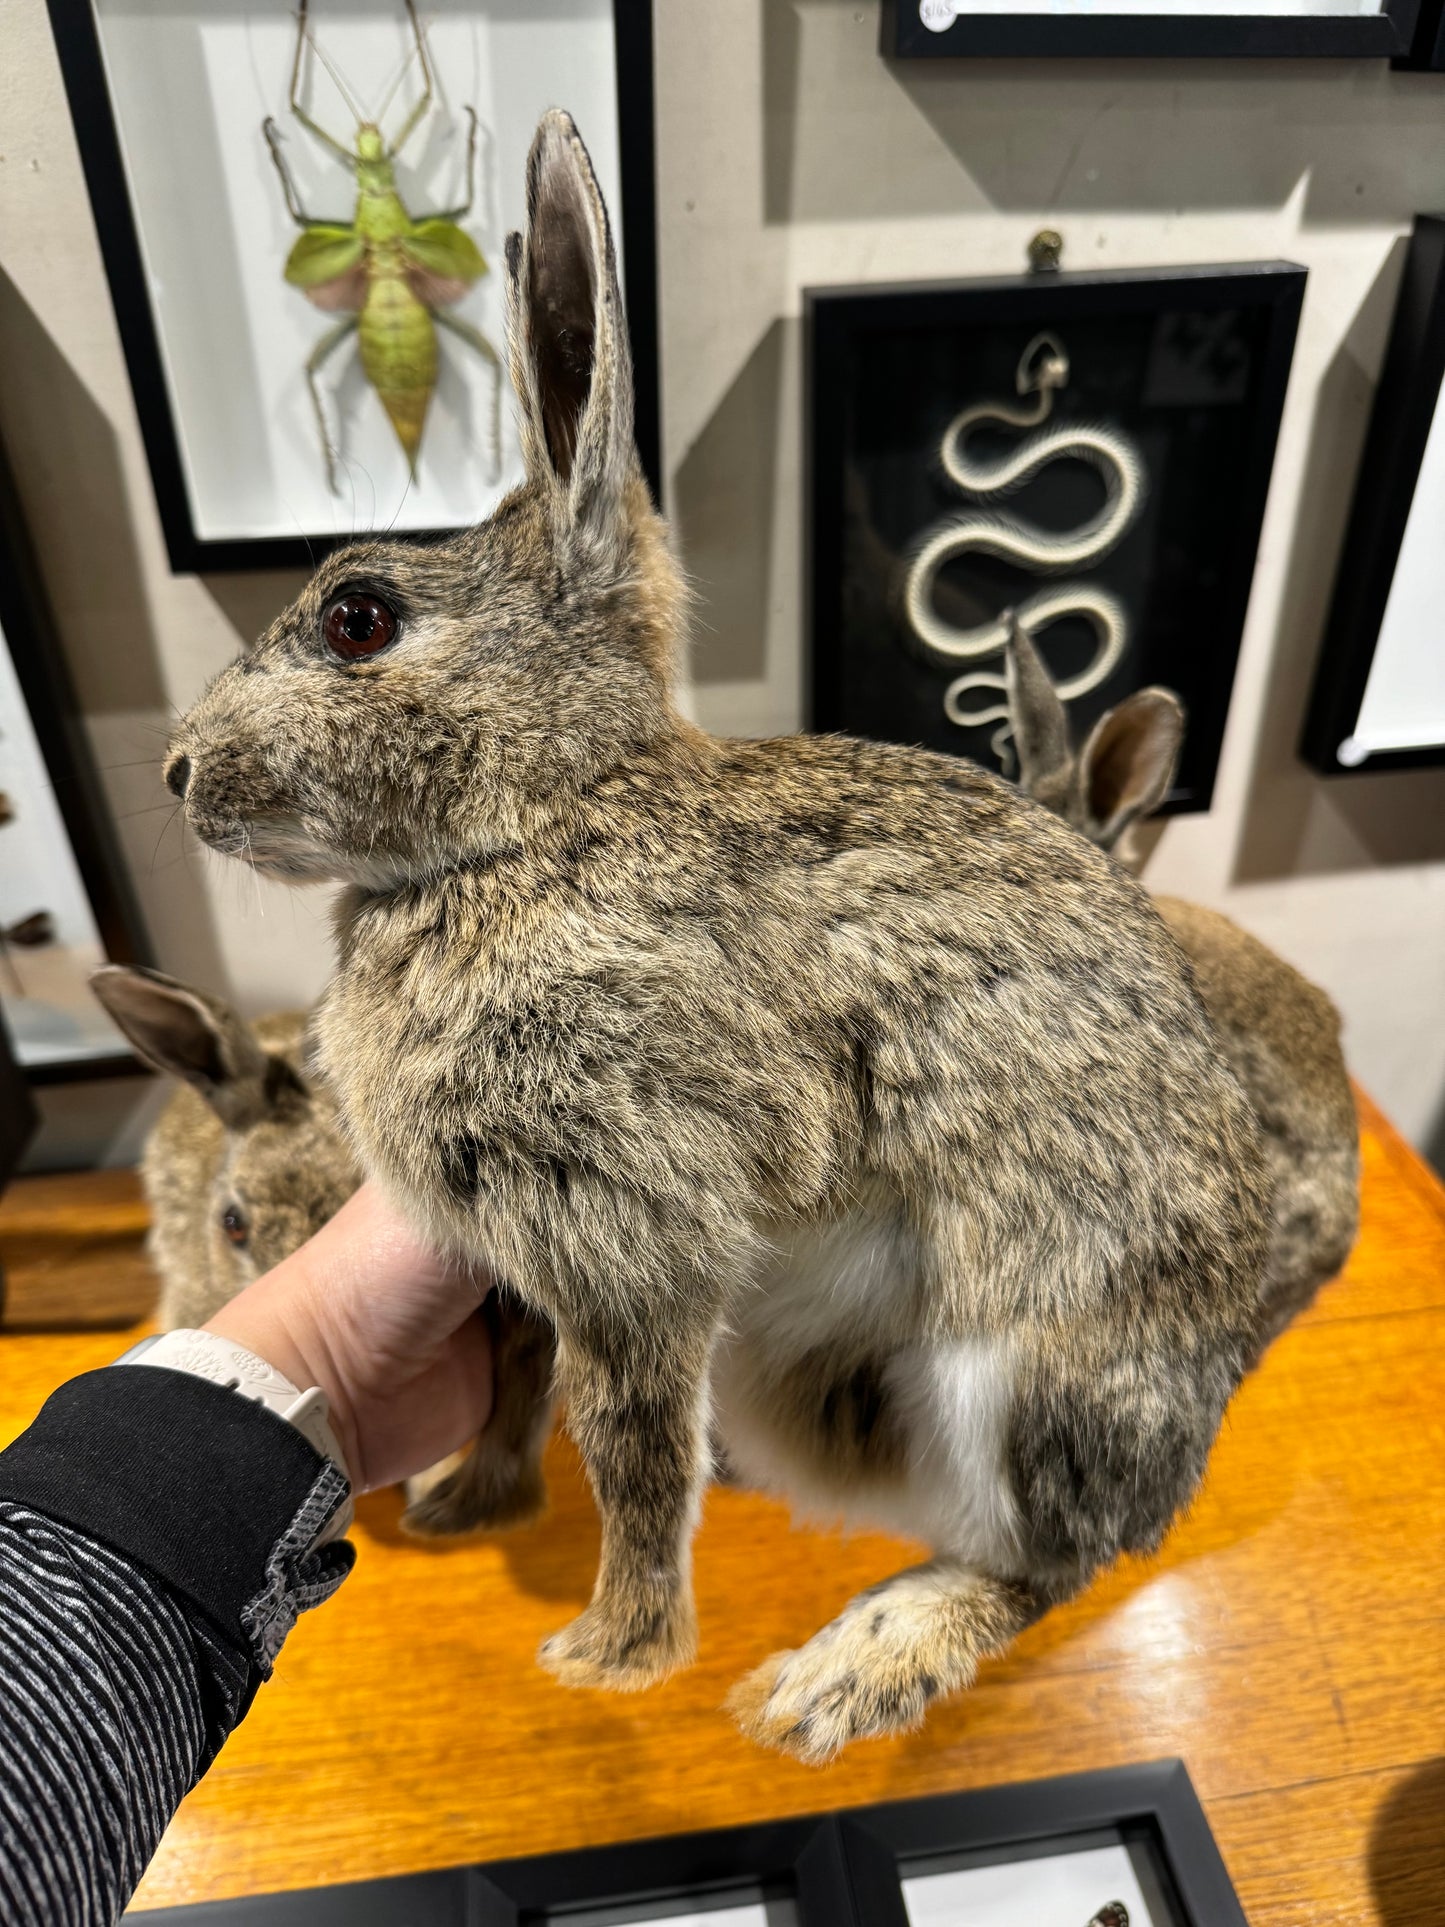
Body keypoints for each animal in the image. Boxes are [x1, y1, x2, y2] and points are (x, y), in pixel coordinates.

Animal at [163, 105, 1279, 1765]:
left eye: (358, 616)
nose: (177, 773)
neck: (543, 815)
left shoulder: (629, 1225)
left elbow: (625, 1444)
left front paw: (607, 1656)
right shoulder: (519, 1255)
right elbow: (519, 1385)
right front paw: (462, 1507)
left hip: (1030, 1371)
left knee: (1052, 1559)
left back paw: (836, 1677)